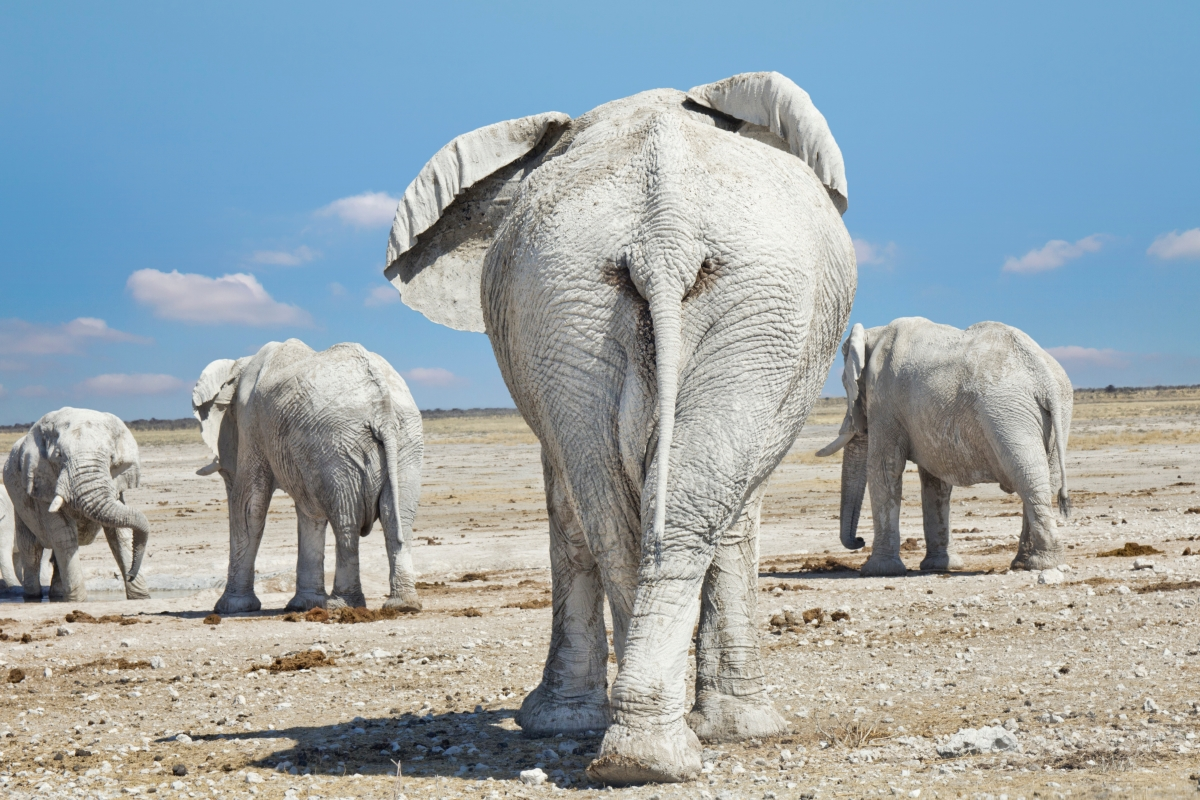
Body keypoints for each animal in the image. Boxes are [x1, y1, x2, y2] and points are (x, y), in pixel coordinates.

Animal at [2, 408, 151, 602]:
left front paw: (142, 597)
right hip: (19, 504)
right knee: (31, 548)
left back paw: (57, 595)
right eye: (59, 456)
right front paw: (78, 601)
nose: (131, 574)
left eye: (111, 458)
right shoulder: (42, 484)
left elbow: (119, 533)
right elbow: (63, 534)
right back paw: (33, 597)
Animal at [192, 339, 424, 615]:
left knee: (346, 518)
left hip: (338, 445)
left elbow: (250, 506)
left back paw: (341, 605)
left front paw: (230, 607)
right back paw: (403, 605)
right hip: (403, 441)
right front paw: (303, 605)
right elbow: (309, 512)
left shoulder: (251, 423)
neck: (240, 365)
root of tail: (383, 410)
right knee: (396, 515)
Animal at [382, 71, 856, 783]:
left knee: (625, 510)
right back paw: (652, 751)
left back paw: (640, 754)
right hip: (606, 303)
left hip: (646, 300)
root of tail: (663, 234)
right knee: (647, 507)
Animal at [816, 317, 1072, 575]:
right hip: (1057, 412)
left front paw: (879, 570)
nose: (859, 540)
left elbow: (884, 468)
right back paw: (1026, 563)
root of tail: (1046, 378)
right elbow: (935, 482)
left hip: (1008, 413)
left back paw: (1041, 564)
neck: (874, 333)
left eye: (845, 383)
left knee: (1028, 478)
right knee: (1045, 480)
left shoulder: (884, 400)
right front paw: (939, 566)